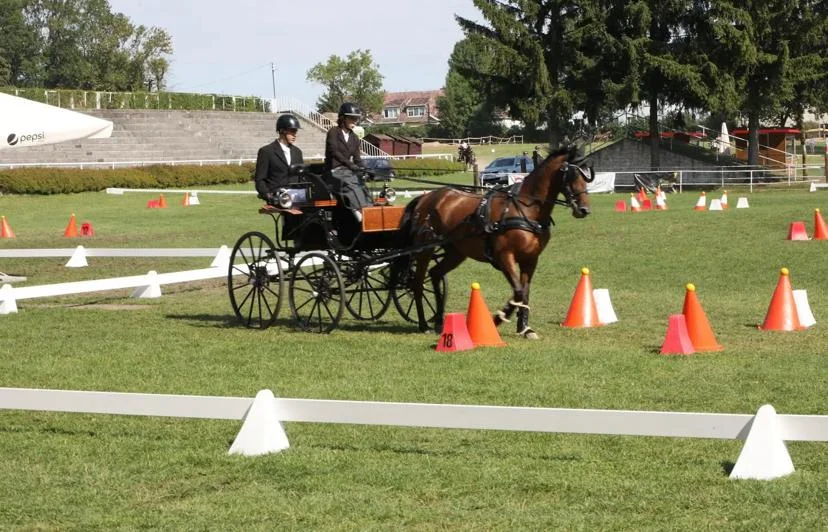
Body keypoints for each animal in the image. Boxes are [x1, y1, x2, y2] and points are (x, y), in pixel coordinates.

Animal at [394, 144, 596, 336]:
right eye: (571, 175)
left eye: (587, 176)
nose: (584, 210)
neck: (525, 208)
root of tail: (426, 197)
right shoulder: (504, 256)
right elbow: (518, 291)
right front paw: (498, 318)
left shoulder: (530, 259)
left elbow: (525, 293)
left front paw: (525, 328)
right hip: (424, 249)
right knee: (417, 283)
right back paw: (423, 324)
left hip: (456, 252)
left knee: (435, 274)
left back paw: (438, 321)